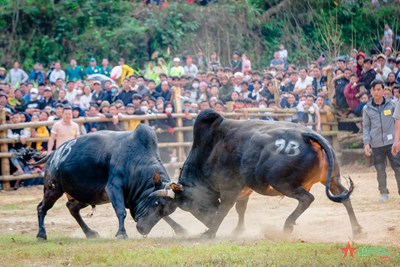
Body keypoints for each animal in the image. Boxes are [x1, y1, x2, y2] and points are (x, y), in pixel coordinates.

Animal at [29, 125, 184, 241]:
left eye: (165, 208)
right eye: (157, 203)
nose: (142, 229)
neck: (135, 161)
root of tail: (54, 154)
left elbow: (167, 218)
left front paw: (180, 229)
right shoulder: (113, 188)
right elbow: (121, 211)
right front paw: (121, 233)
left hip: (85, 196)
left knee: (72, 208)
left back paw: (90, 233)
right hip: (53, 189)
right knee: (41, 208)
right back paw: (41, 234)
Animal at [155, 110, 362, 240]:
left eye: (191, 206)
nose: (208, 221)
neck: (210, 149)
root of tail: (307, 135)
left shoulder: (229, 189)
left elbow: (224, 209)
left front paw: (210, 232)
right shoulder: (243, 191)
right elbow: (241, 210)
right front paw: (238, 230)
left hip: (282, 182)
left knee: (307, 198)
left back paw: (287, 226)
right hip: (332, 179)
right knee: (344, 196)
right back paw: (357, 230)